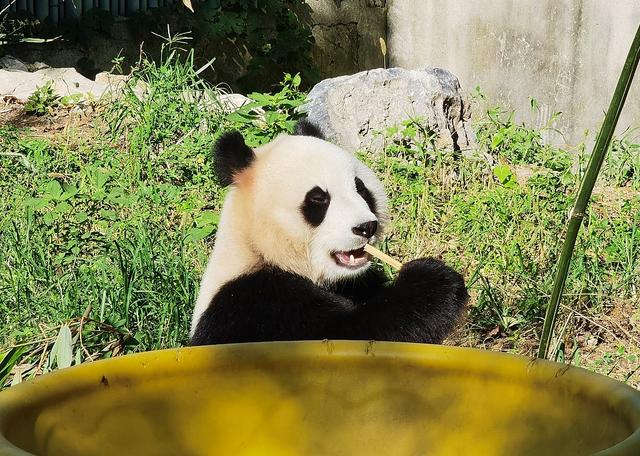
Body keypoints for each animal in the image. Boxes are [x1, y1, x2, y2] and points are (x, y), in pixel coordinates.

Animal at [188, 121, 468, 346]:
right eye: (318, 199)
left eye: (360, 188)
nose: (366, 227)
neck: (259, 250)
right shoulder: (255, 305)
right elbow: (347, 334)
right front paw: (434, 281)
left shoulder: (358, 282)